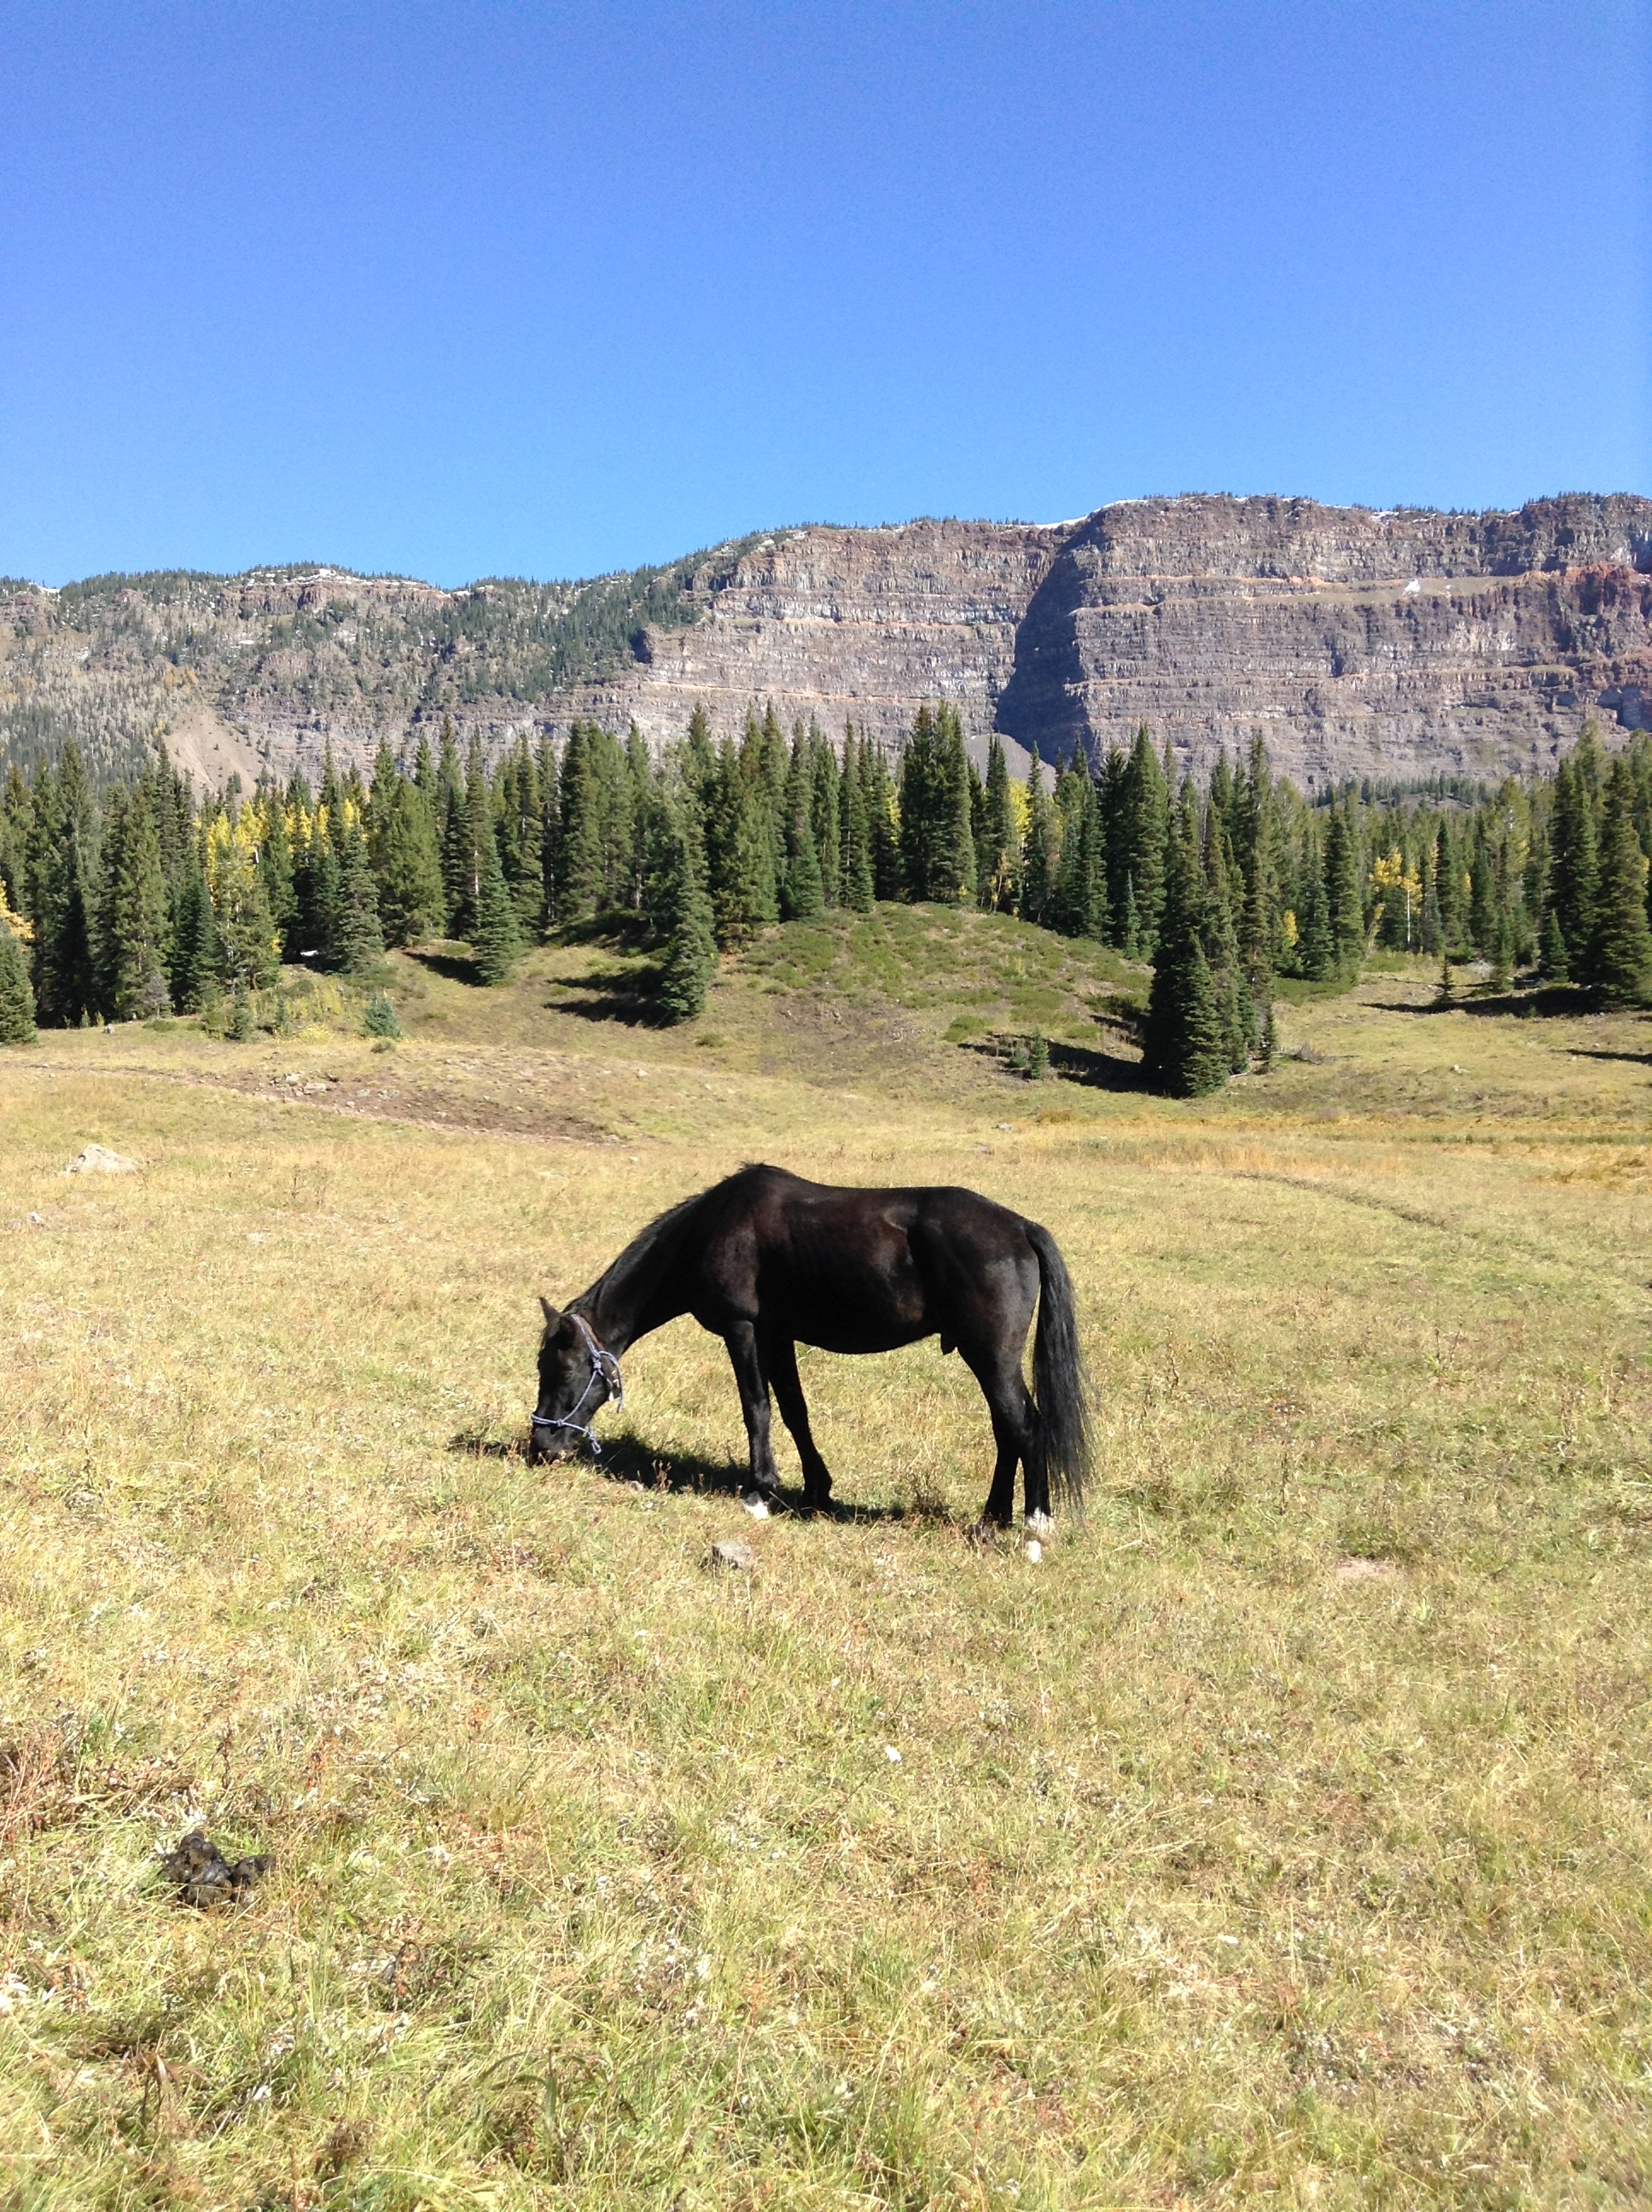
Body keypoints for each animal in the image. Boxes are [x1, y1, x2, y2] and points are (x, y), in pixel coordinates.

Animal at [527, 1163, 1091, 1532]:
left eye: (563, 1370)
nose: (542, 1446)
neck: (712, 1228)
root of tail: (1020, 1227)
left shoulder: (742, 1329)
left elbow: (756, 1408)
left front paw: (760, 1492)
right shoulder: (776, 1336)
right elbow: (795, 1412)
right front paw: (817, 1490)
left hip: (992, 1358)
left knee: (1024, 1426)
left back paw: (1034, 1526)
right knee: (1007, 1430)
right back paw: (992, 1518)